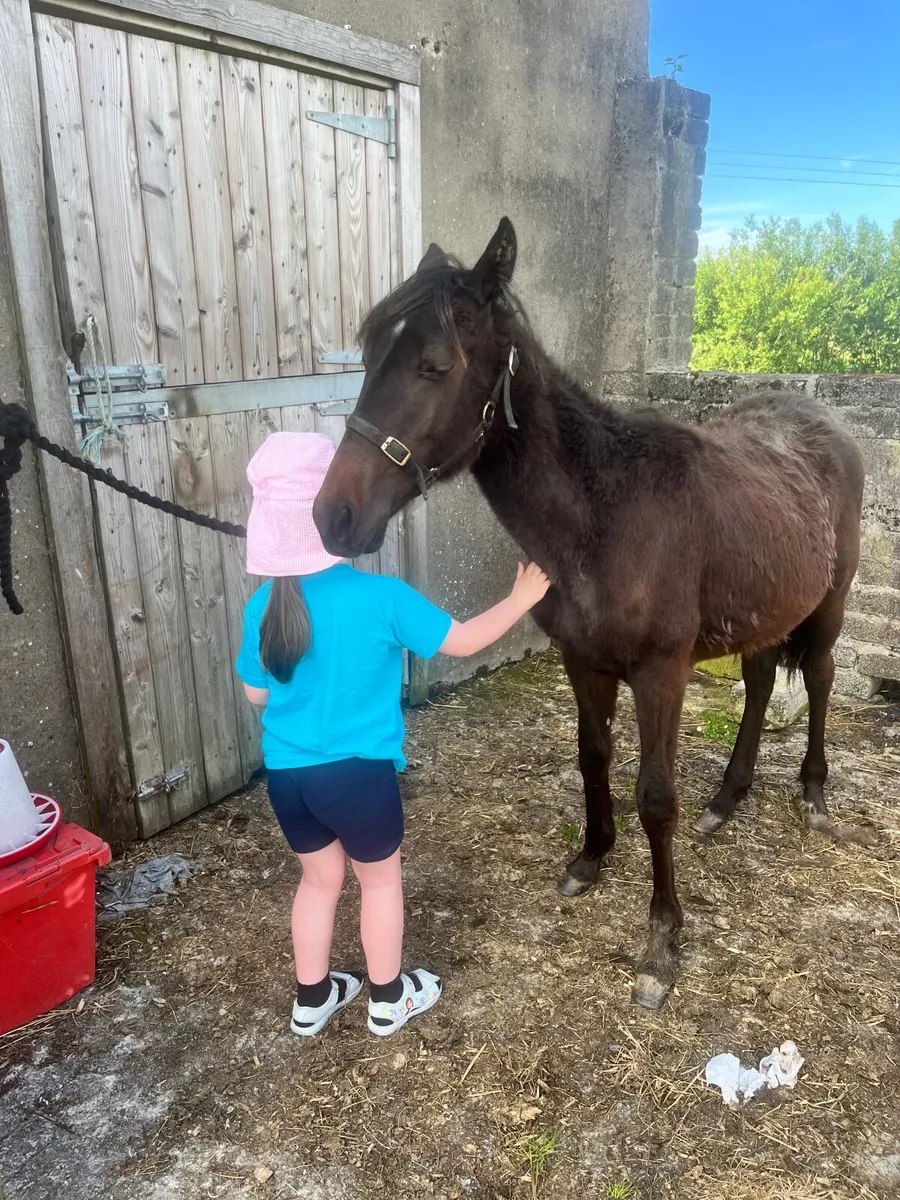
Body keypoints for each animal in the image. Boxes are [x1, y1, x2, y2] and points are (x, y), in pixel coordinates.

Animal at [313, 218, 865, 1009]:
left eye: (435, 365)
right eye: (368, 358)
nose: (333, 516)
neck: (607, 515)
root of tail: (825, 421)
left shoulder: (661, 674)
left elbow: (656, 798)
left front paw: (662, 943)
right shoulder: (583, 661)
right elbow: (592, 756)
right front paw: (591, 858)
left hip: (829, 604)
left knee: (817, 679)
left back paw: (814, 797)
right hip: (765, 608)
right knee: (762, 682)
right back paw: (728, 798)